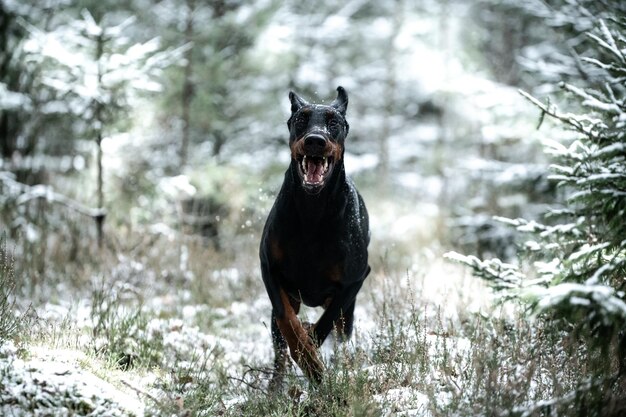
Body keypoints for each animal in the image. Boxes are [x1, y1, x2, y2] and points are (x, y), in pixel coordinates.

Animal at [258, 86, 368, 388]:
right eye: (300, 119)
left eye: (334, 123)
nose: (315, 141)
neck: (312, 210)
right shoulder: (269, 268)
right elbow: (286, 320)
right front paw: (306, 354)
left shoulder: (355, 279)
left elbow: (323, 325)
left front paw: (313, 363)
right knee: (279, 347)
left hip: (348, 314)